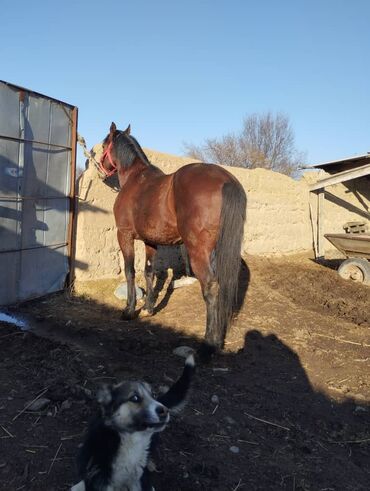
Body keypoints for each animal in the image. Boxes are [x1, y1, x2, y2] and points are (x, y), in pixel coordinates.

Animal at [99, 123, 247, 354]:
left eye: (105, 144)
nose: (99, 167)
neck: (135, 179)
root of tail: (226, 180)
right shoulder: (150, 241)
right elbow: (149, 272)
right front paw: (149, 308)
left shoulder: (124, 235)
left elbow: (130, 272)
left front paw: (129, 310)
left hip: (198, 251)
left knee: (210, 287)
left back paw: (209, 342)